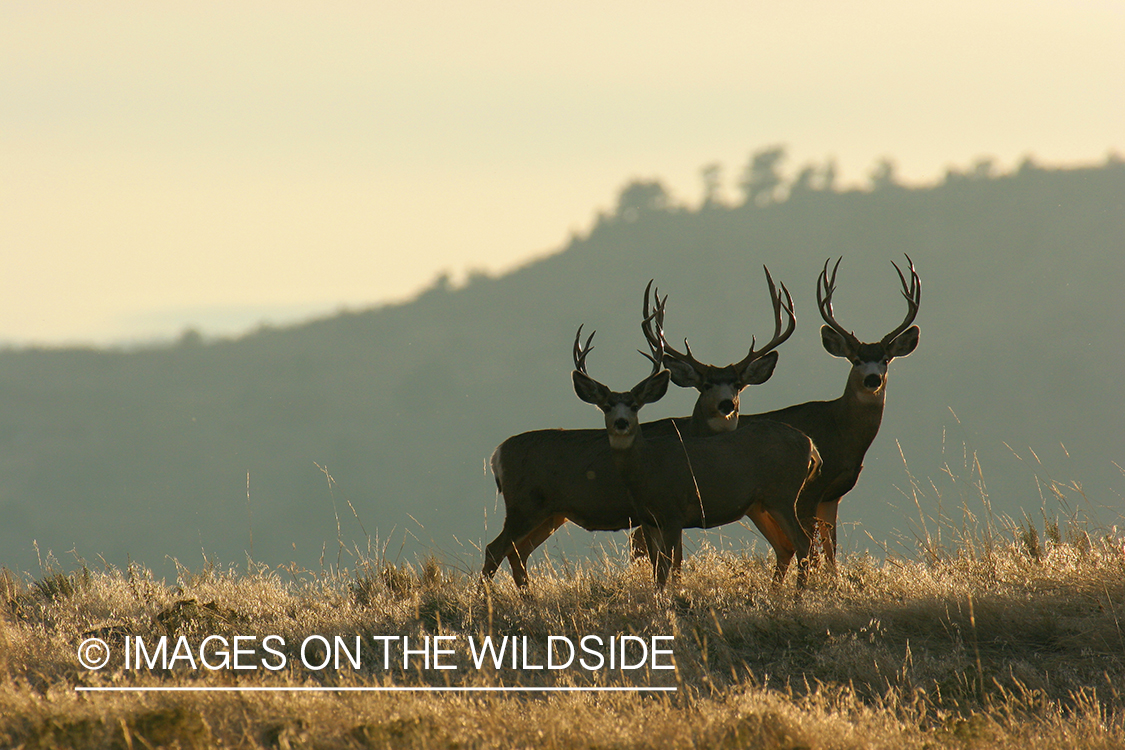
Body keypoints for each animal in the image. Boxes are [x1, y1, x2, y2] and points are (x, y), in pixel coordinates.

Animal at [570, 321, 820, 588]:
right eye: (607, 407)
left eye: (635, 406)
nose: (621, 423)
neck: (648, 468)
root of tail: (809, 444)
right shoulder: (647, 519)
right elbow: (657, 567)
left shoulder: (673, 512)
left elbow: (667, 565)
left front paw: (670, 596)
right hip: (762, 503)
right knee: (787, 545)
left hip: (782, 494)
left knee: (803, 542)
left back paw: (797, 594)